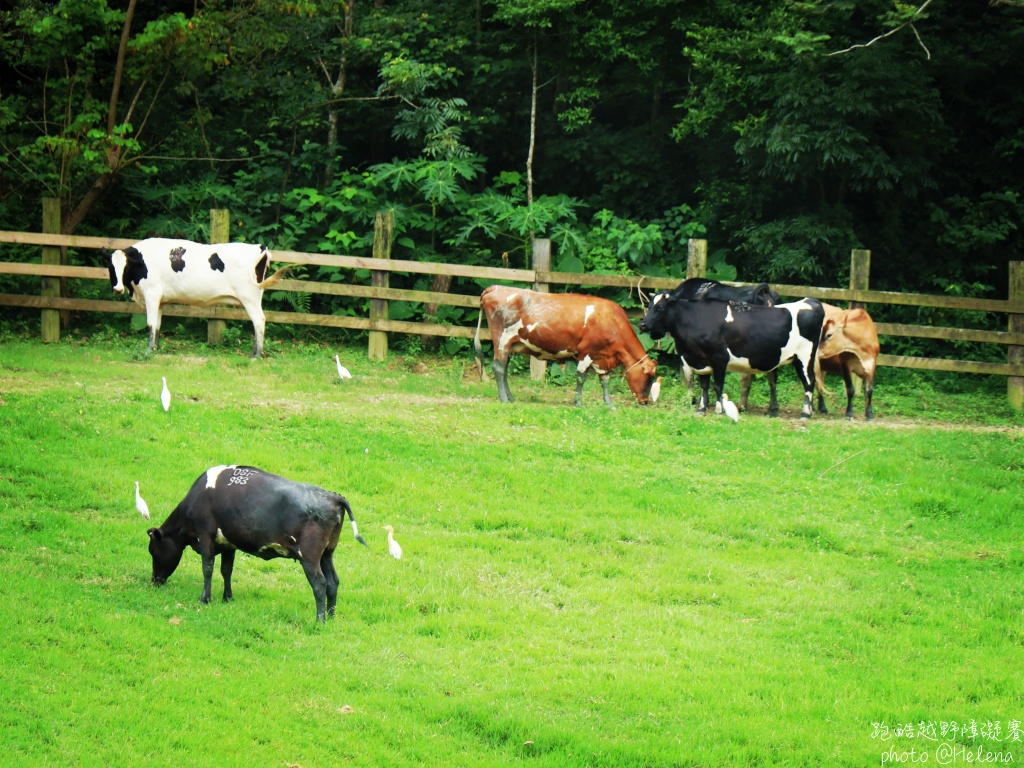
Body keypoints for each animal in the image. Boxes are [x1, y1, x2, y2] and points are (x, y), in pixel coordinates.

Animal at [106, 237, 288, 358]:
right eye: (110, 267)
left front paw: (148, 351)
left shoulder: (151, 294)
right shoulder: (160, 300)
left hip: (249, 296)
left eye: (126, 267)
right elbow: (157, 325)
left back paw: (256, 354)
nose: (117, 288)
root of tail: (260, 247)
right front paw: (157, 349)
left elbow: (150, 324)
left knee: (259, 320)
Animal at [144, 466, 368, 622]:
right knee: (333, 582)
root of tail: (334, 497)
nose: (154, 581)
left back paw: (319, 620)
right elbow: (226, 570)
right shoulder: (228, 544)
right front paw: (227, 598)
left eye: (153, 551)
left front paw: (204, 599)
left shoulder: (205, 536)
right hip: (327, 553)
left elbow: (207, 569)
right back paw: (331, 617)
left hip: (310, 557)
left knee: (320, 584)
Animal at [471, 286, 655, 409]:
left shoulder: (601, 357)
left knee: (504, 370)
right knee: (498, 368)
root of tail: (495, 287)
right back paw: (503, 398)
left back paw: (510, 397)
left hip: (510, 345)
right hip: (501, 340)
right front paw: (579, 402)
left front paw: (609, 405)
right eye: (648, 378)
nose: (645, 401)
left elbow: (605, 381)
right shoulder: (586, 352)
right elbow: (581, 378)